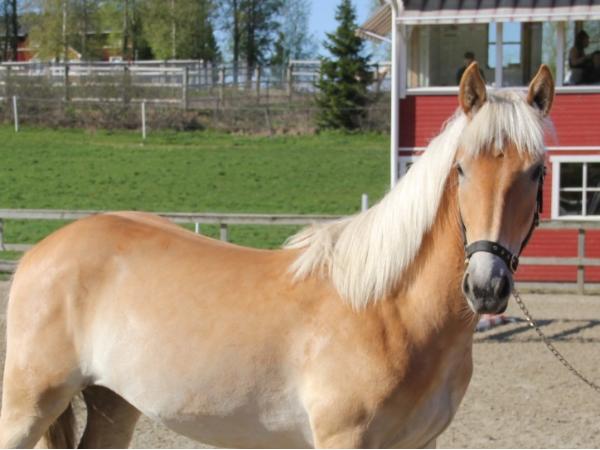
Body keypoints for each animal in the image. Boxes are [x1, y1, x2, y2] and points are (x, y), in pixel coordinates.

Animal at [0, 62, 554, 449]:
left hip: (114, 402)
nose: (486, 286)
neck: (389, 309)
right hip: (28, 406)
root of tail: (39, 253)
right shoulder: (344, 438)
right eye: (461, 169)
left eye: (537, 171)